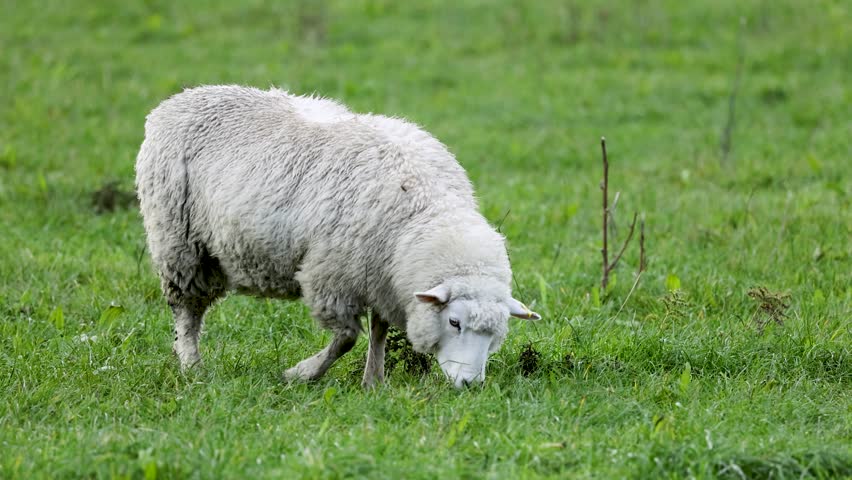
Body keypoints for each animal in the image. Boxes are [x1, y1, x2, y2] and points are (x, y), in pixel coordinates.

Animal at [135, 85, 540, 388]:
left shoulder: (381, 278)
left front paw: (374, 381)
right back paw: (192, 366)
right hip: (180, 244)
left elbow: (378, 330)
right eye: (454, 322)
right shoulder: (331, 276)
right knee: (187, 312)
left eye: (496, 334)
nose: (471, 384)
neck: (425, 212)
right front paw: (301, 373)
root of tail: (180, 98)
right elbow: (346, 338)